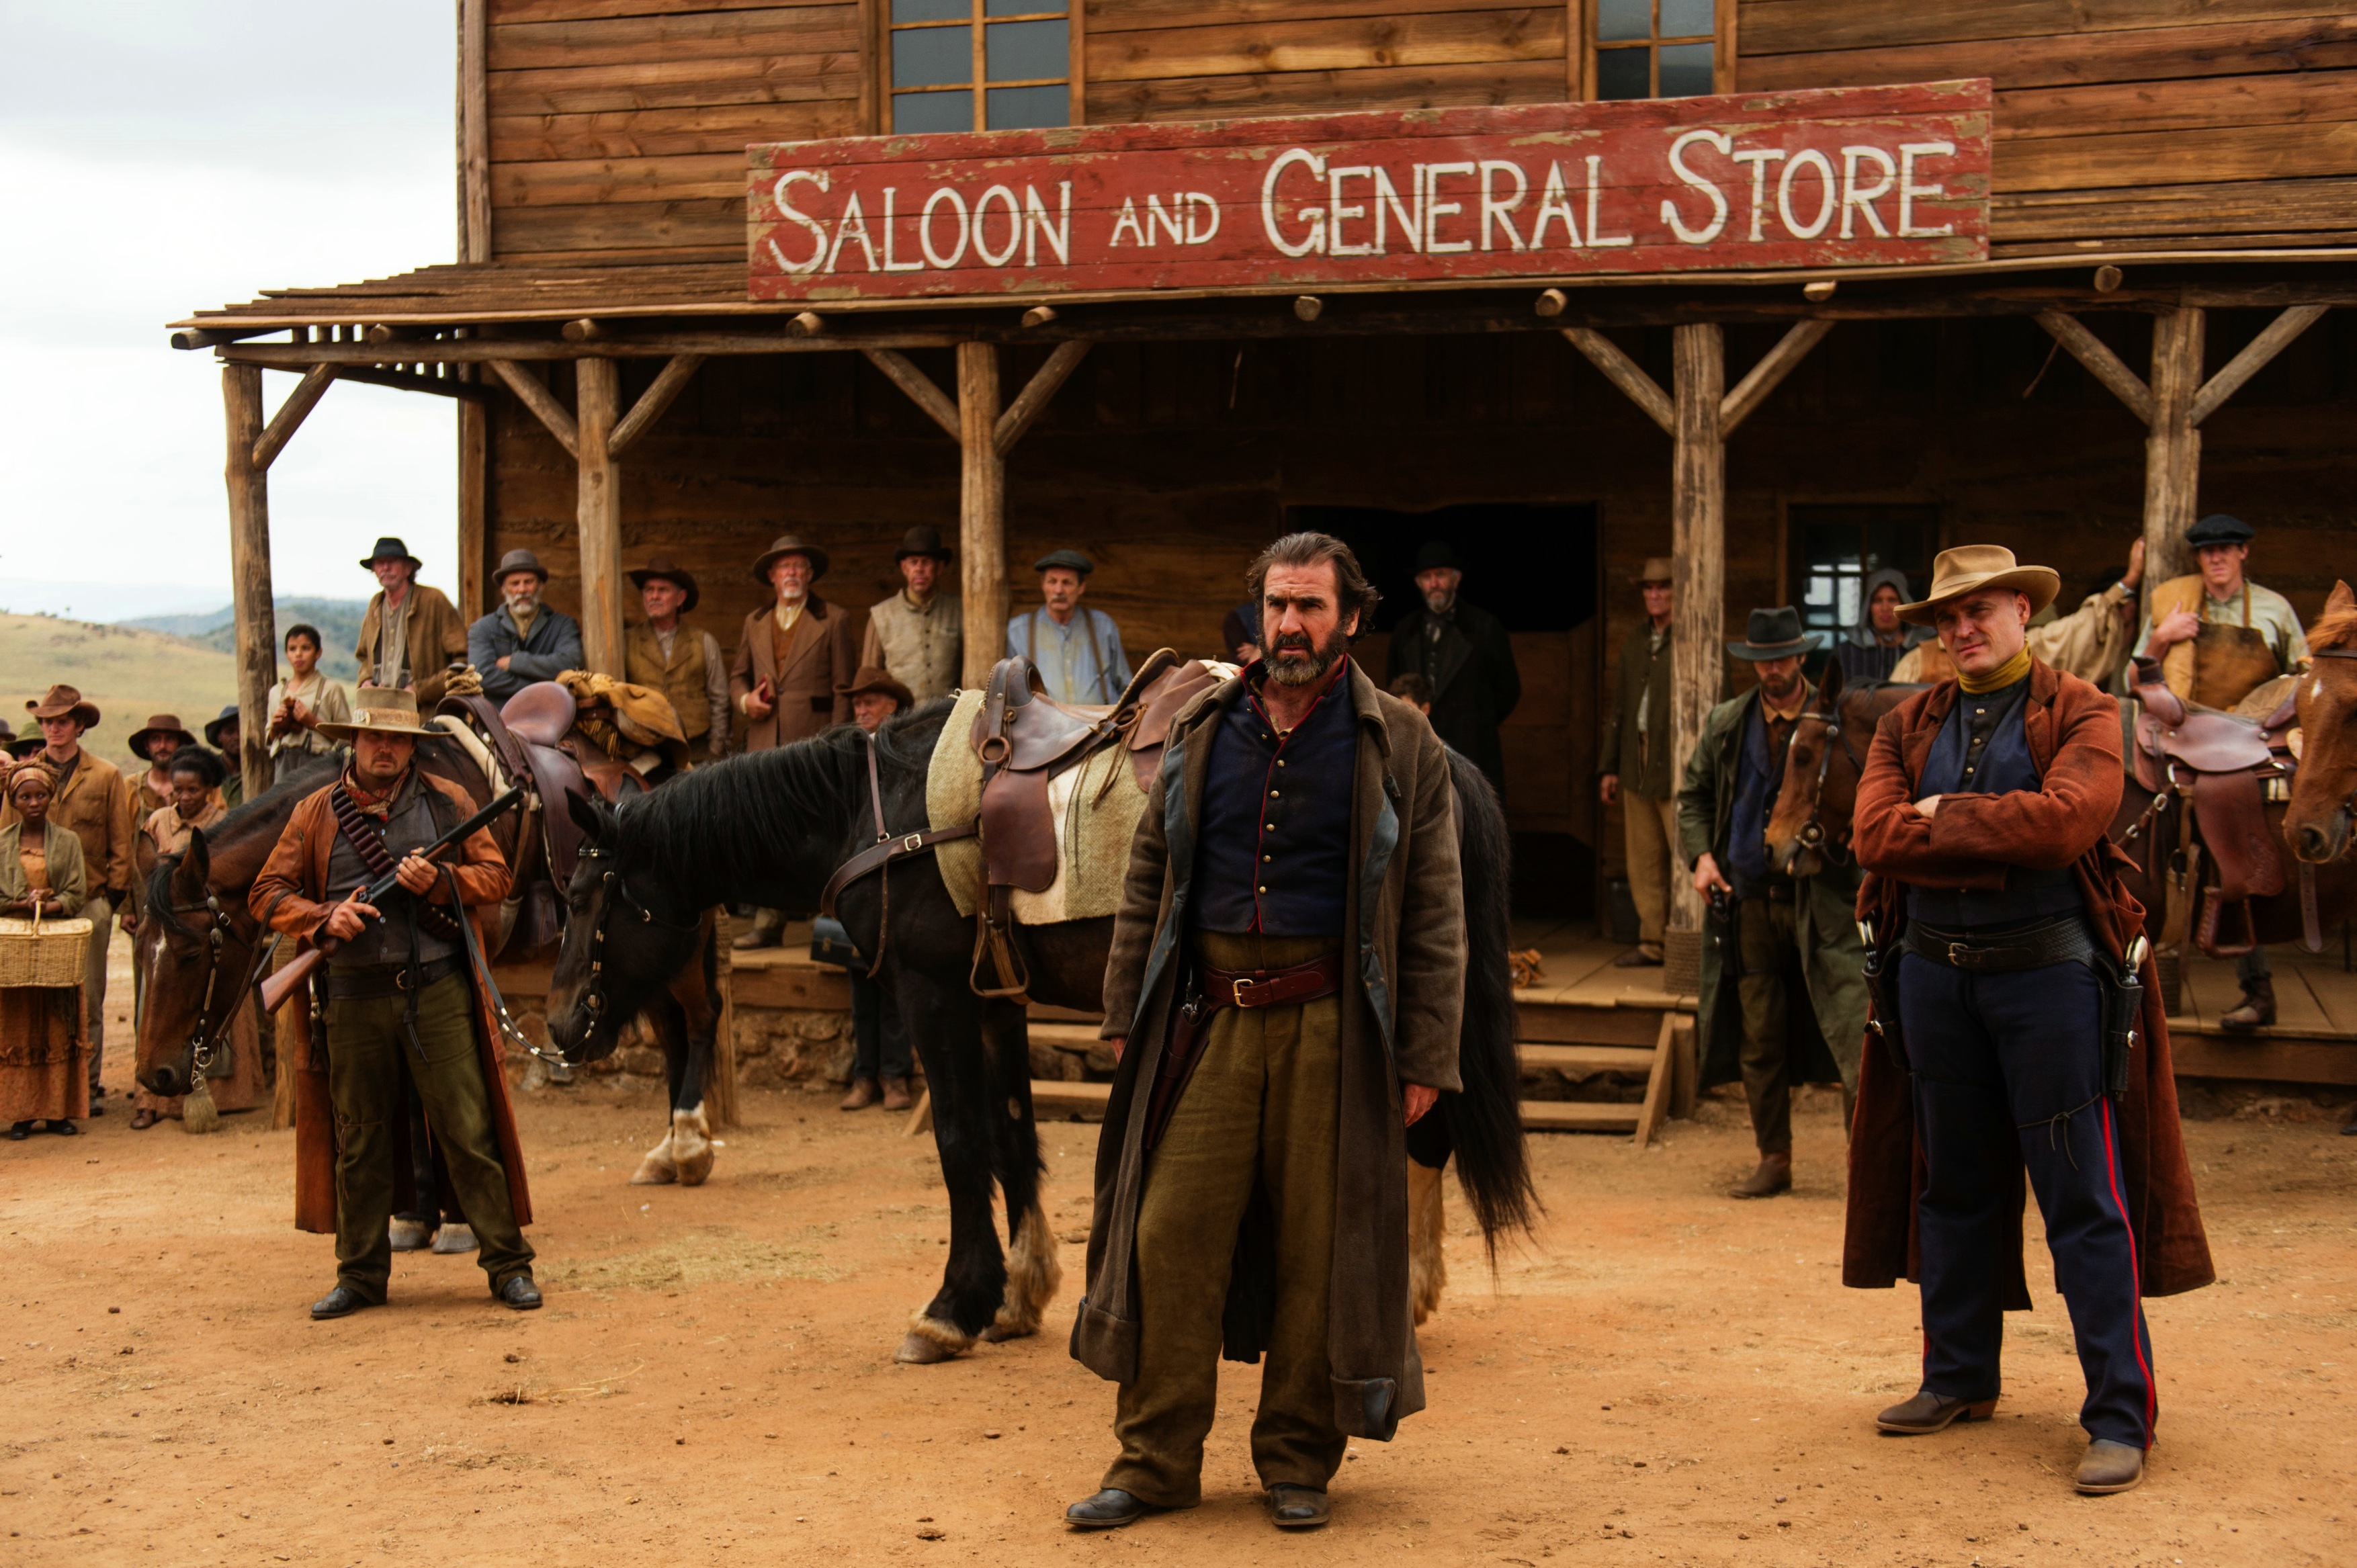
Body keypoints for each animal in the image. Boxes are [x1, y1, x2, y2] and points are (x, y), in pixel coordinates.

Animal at [545, 694, 1535, 1365]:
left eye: (592, 894)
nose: (559, 1026)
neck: (888, 809)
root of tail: (1444, 767)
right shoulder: (993, 998)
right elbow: (1011, 1134)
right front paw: (1019, 1293)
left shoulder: (932, 991)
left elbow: (957, 1141)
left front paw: (952, 1306)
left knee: (1419, 1136)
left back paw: (1400, 1296)